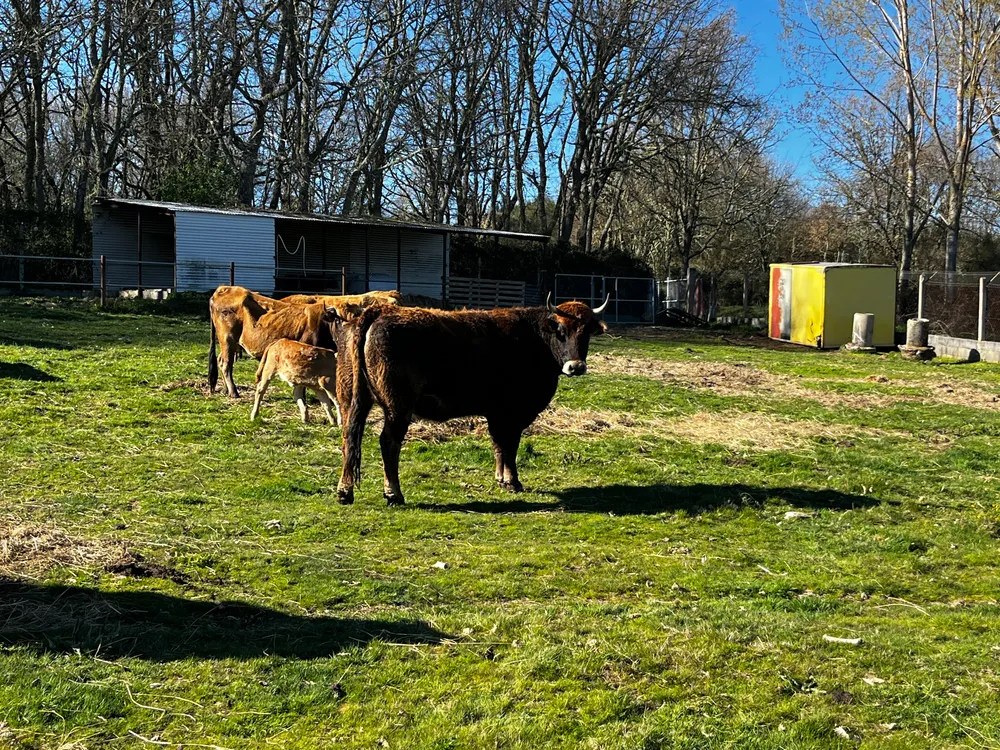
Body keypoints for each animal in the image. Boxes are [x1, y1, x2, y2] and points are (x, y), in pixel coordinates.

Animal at [335, 294, 609, 506]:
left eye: (586, 333)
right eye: (562, 331)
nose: (576, 366)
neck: (533, 338)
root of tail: (380, 311)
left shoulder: (497, 413)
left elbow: (499, 445)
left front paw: (501, 479)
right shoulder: (513, 413)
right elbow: (510, 446)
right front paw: (513, 481)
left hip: (352, 401)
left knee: (349, 437)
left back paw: (345, 492)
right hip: (398, 407)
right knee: (389, 442)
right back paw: (394, 493)